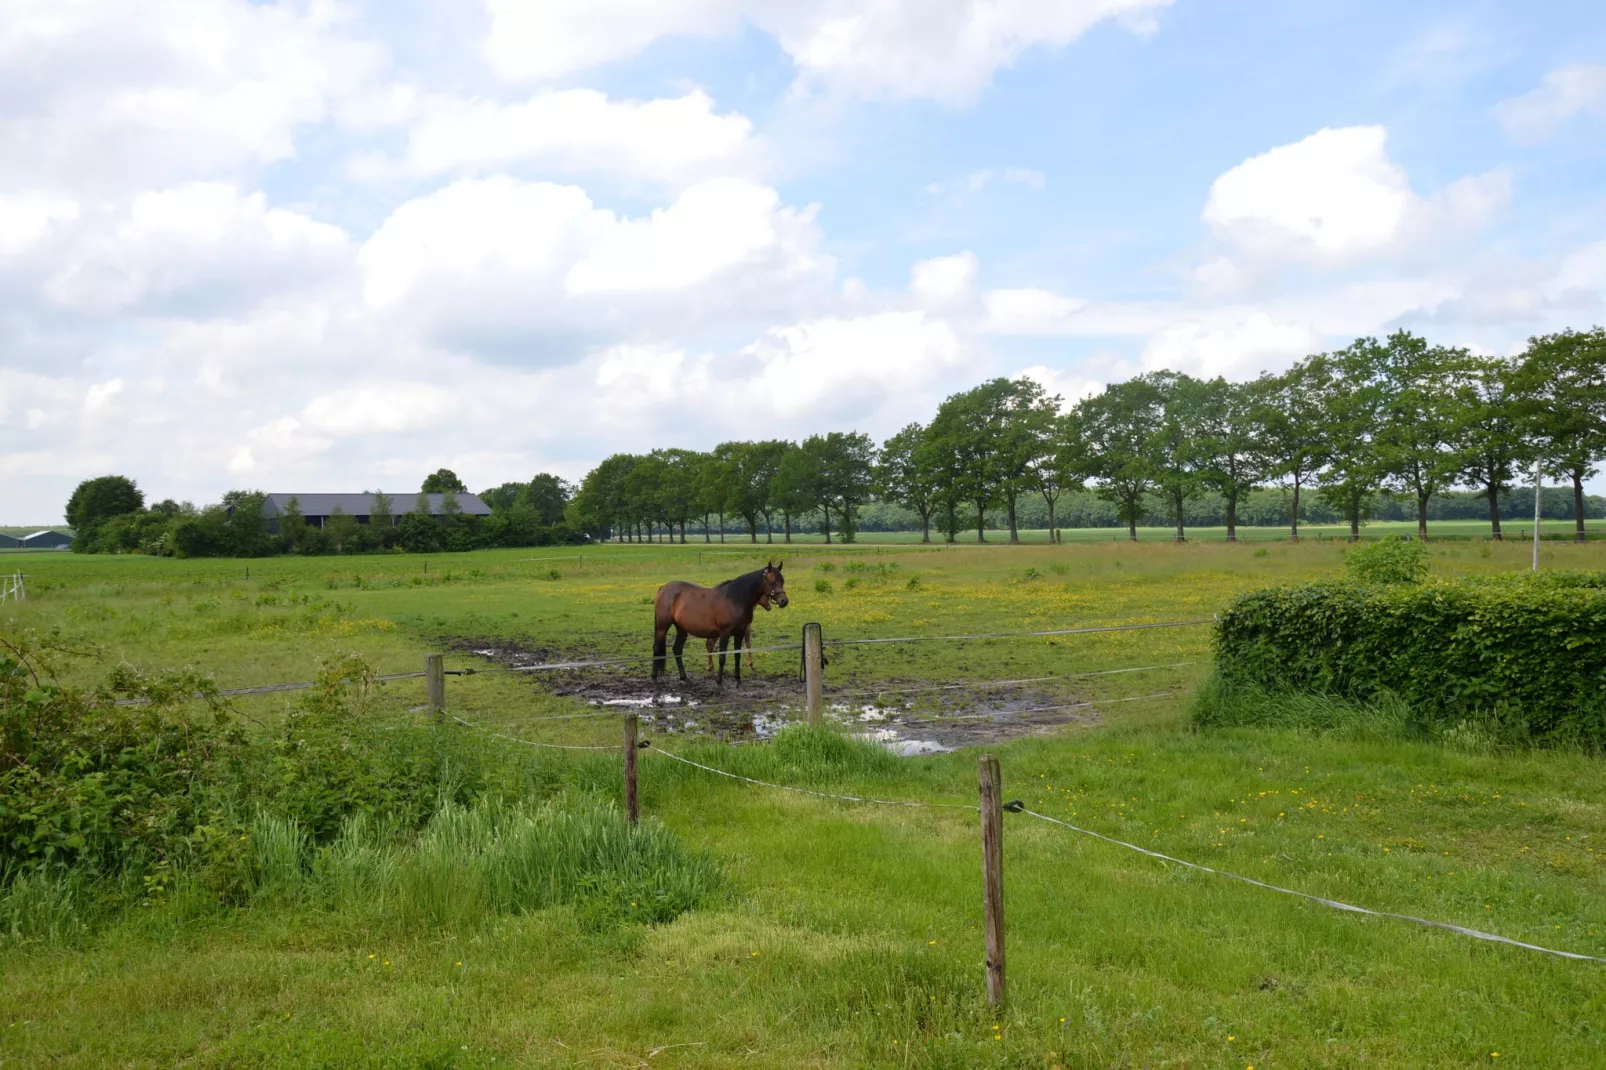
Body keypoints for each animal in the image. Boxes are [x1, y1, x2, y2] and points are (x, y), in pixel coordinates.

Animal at [652, 559, 790, 684]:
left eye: (782, 581)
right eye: (772, 581)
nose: (784, 601)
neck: (735, 599)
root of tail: (663, 588)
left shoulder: (740, 632)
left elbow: (737, 655)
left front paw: (738, 679)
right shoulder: (725, 632)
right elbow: (722, 657)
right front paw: (719, 680)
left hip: (682, 629)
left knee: (677, 649)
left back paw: (684, 677)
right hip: (662, 627)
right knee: (657, 648)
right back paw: (654, 677)